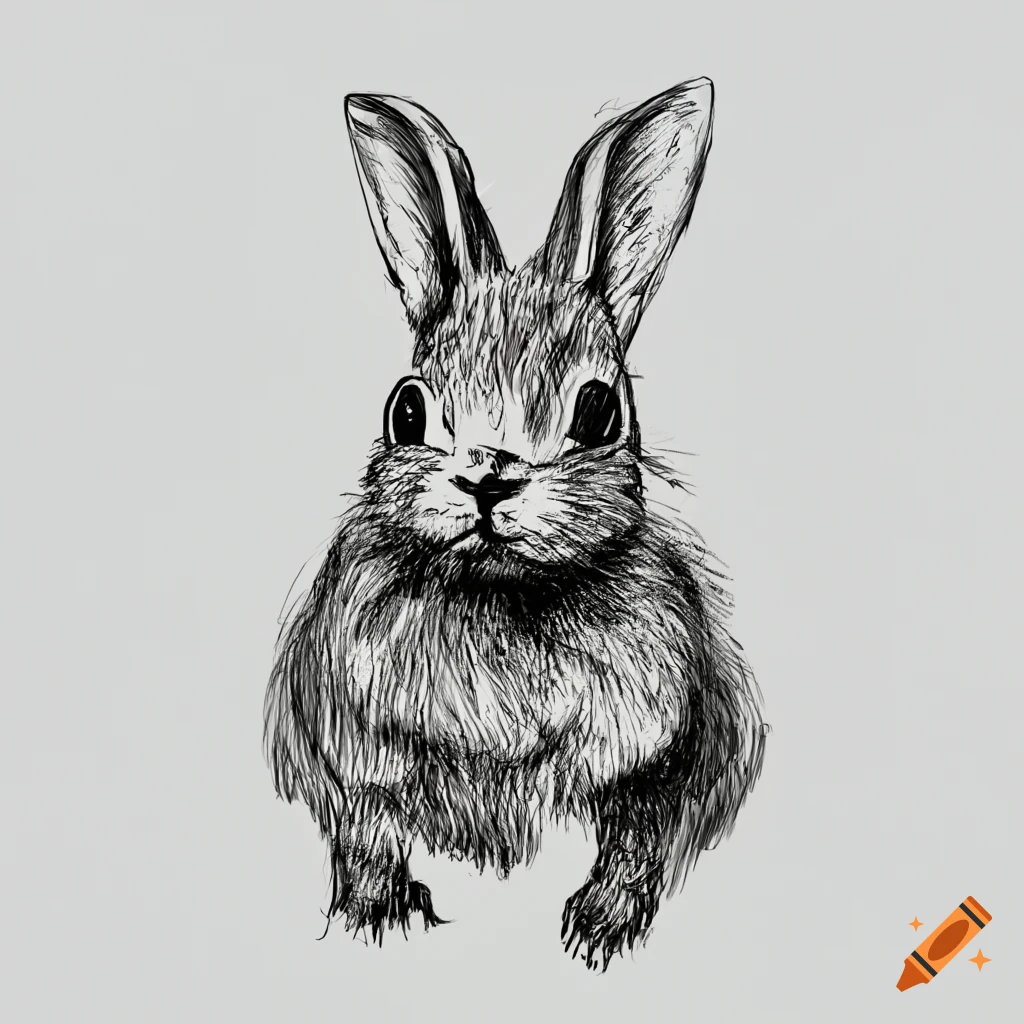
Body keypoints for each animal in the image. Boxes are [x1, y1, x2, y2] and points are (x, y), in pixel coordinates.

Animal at [263, 76, 767, 972]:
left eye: (599, 411)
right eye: (406, 408)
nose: (488, 476)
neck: (504, 594)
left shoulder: (658, 756)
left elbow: (635, 839)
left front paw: (600, 928)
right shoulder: (352, 747)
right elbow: (367, 830)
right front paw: (377, 915)